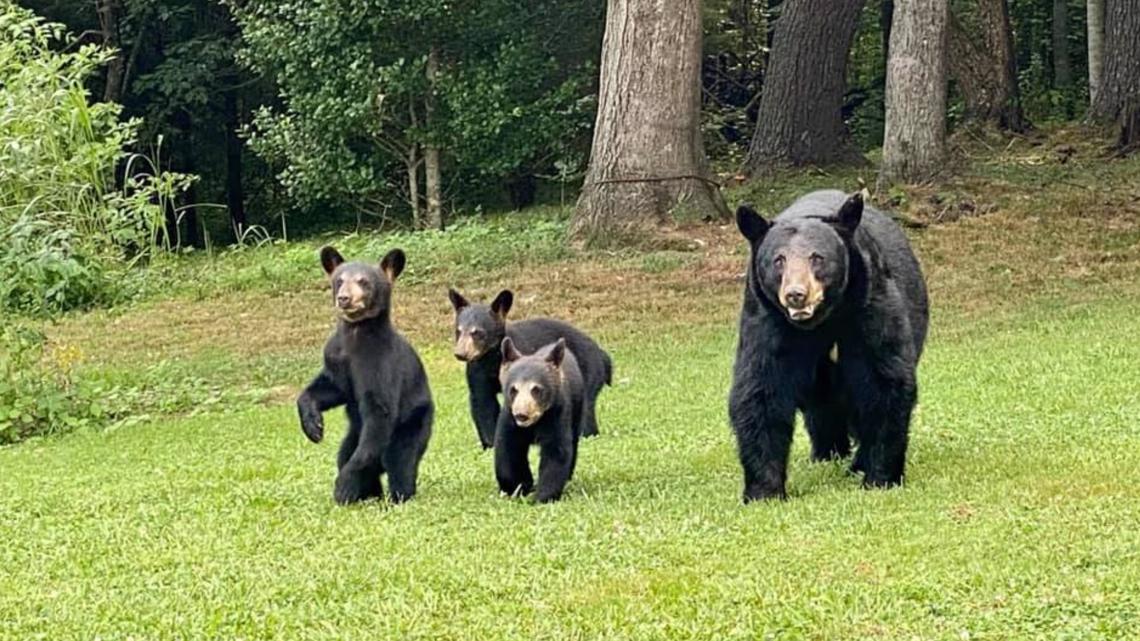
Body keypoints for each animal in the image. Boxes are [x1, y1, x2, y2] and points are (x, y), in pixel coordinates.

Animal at [296, 246, 434, 505]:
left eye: (364, 281)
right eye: (339, 280)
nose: (344, 298)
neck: (356, 333)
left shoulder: (380, 364)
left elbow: (379, 412)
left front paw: (343, 485)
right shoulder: (336, 356)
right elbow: (331, 387)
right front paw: (313, 426)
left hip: (414, 422)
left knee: (400, 459)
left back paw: (397, 495)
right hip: (353, 433)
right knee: (345, 452)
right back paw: (370, 494)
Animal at [447, 288, 612, 449]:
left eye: (477, 332)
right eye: (458, 331)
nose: (460, 353)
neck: (493, 358)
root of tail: (601, 353)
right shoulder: (478, 370)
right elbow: (483, 402)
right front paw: (490, 444)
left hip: (588, 370)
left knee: (586, 410)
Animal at [494, 337, 584, 503]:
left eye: (536, 389)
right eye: (513, 389)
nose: (522, 415)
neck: (534, 422)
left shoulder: (557, 414)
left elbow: (556, 451)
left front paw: (542, 496)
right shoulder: (509, 418)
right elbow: (508, 449)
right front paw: (516, 488)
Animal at [728, 189, 929, 502]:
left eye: (817, 257)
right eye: (778, 260)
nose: (796, 294)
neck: (820, 322)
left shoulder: (868, 307)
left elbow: (882, 382)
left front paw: (879, 477)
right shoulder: (767, 320)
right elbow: (761, 389)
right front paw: (764, 491)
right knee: (821, 407)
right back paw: (826, 454)